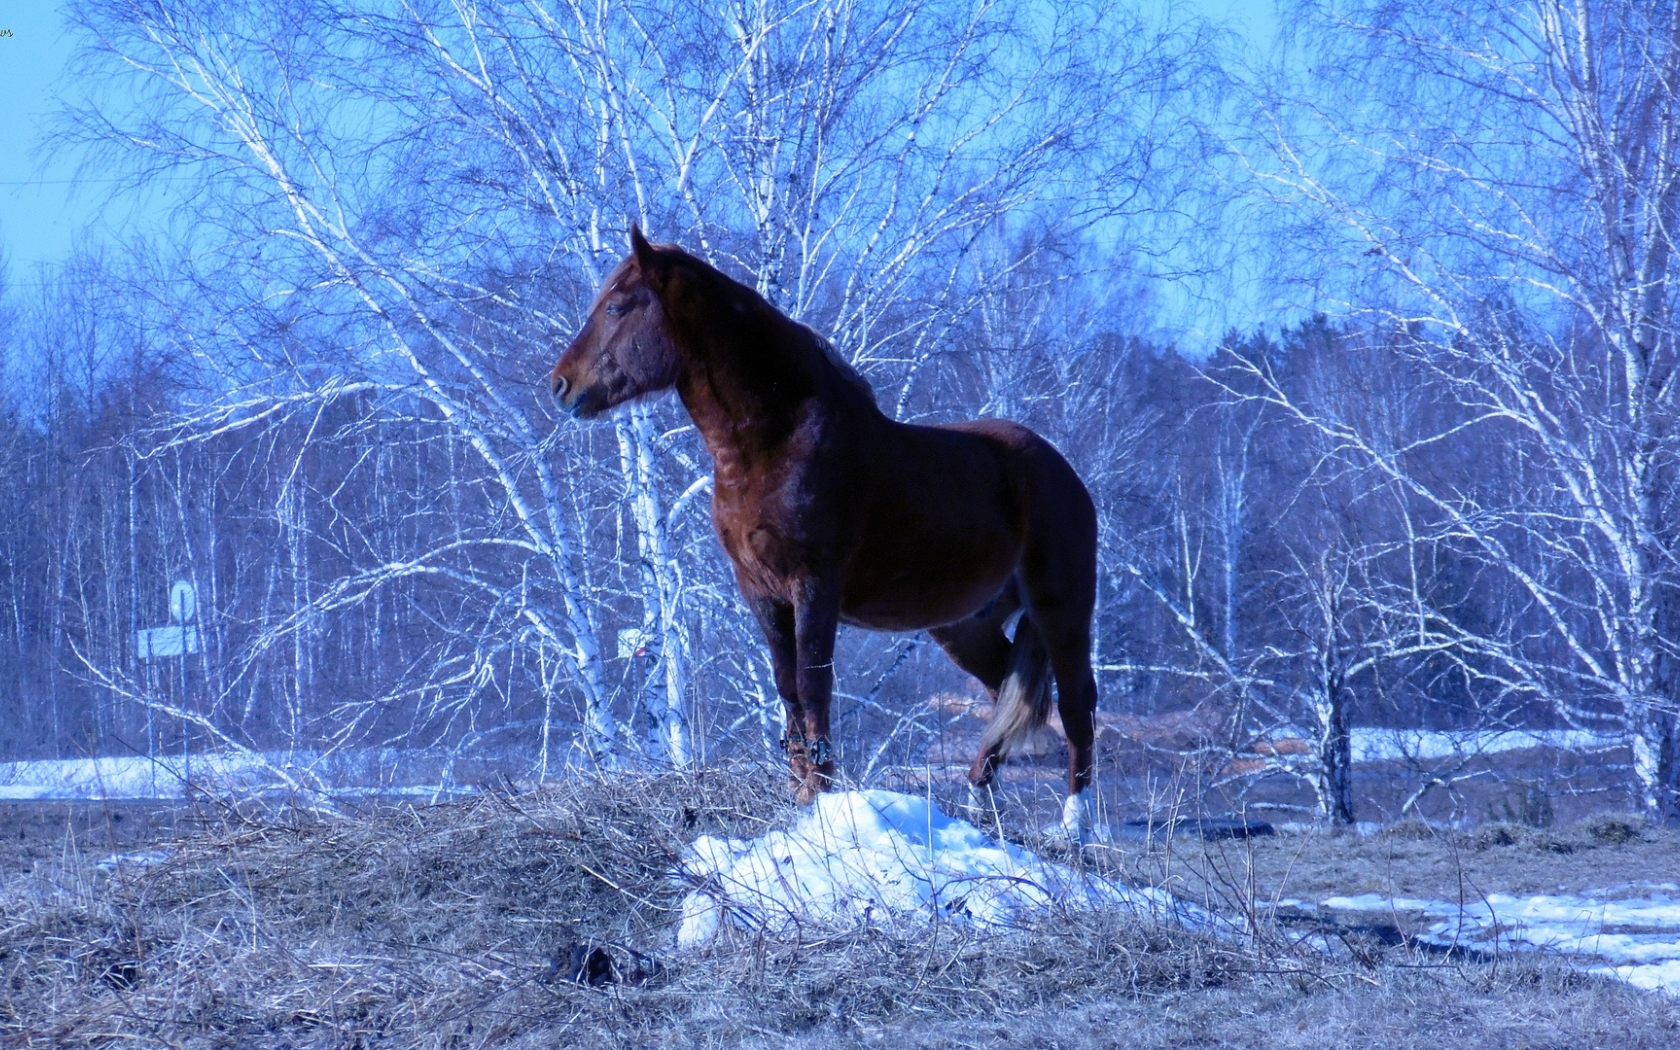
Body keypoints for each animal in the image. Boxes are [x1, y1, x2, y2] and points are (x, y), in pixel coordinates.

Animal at [547, 225, 1102, 840]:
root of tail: (1061, 471)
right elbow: (788, 693)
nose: (560, 385)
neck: (778, 443)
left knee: (1076, 703)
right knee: (1005, 688)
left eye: (617, 306)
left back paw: (1075, 826)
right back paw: (983, 808)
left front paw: (820, 799)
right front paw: (798, 798)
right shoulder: (761, 593)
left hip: (1061, 607)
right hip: (964, 625)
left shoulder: (814, 587)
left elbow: (814, 691)